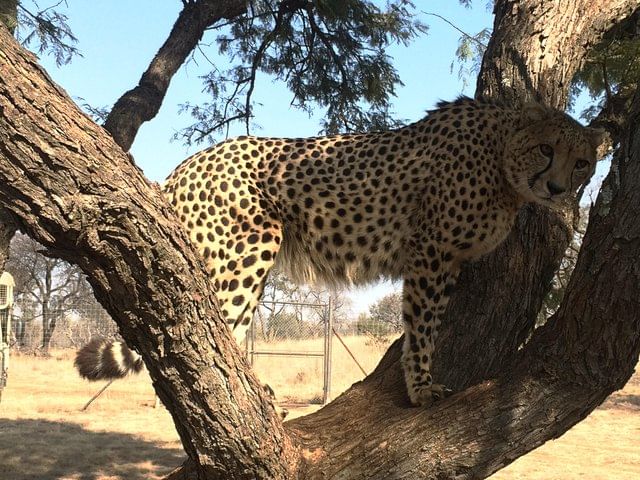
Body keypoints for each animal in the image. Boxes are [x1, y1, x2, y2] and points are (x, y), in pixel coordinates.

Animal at [75, 96, 604, 406]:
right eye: (545, 149)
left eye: (582, 162)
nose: (559, 189)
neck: (502, 156)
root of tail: (187, 163)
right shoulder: (430, 252)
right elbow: (423, 327)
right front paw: (421, 387)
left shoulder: (448, 260)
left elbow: (429, 321)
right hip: (249, 247)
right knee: (212, 329)